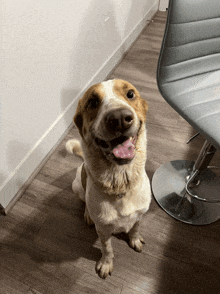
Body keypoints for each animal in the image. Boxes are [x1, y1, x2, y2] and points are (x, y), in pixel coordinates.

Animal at [65, 79, 151, 280]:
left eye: (130, 94)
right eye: (92, 102)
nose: (119, 118)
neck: (120, 182)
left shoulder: (140, 215)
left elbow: (135, 228)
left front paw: (134, 239)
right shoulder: (103, 230)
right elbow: (107, 249)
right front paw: (106, 263)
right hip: (76, 186)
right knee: (84, 201)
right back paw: (87, 214)